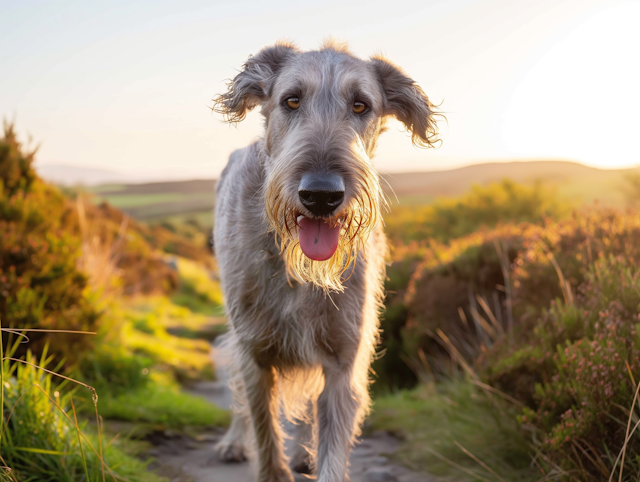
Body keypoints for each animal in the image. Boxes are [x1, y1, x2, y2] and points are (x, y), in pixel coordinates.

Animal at [212, 39, 438, 480]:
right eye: (291, 100)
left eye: (361, 105)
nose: (321, 195)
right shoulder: (255, 351)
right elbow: (263, 426)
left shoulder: (343, 359)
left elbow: (332, 436)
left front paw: (314, 455)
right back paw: (233, 441)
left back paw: (304, 451)